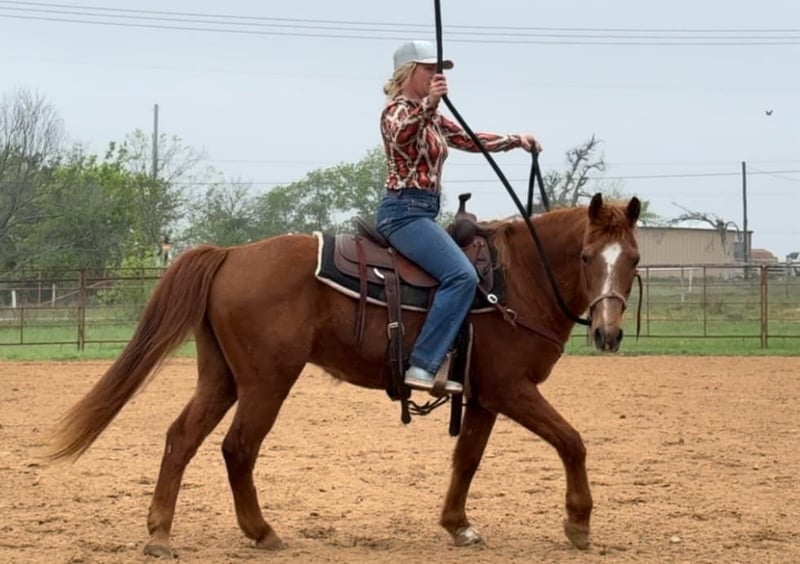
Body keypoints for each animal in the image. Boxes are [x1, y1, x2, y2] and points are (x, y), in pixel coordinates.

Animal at [49, 192, 641, 557]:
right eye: (586, 256)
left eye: (633, 259)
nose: (608, 334)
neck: (514, 281)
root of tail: (232, 254)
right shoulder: (511, 389)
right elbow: (572, 441)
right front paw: (579, 523)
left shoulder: (483, 397)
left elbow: (467, 459)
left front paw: (458, 525)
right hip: (266, 381)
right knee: (238, 448)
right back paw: (262, 532)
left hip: (221, 379)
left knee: (181, 439)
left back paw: (160, 534)